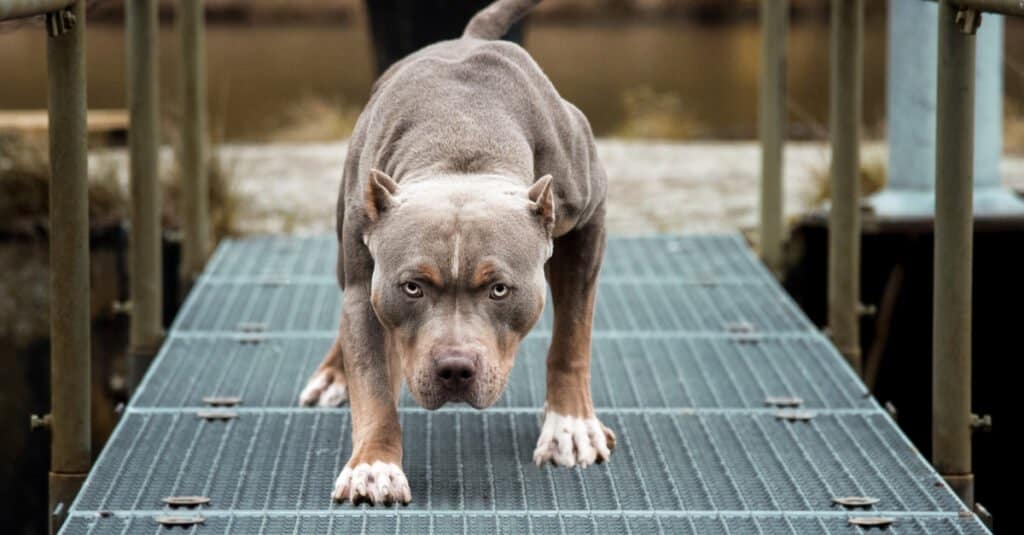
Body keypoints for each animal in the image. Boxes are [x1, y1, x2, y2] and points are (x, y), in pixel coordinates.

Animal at [299, 0, 610, 504]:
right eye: (412, 287)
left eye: (500, 290)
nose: (455, 370)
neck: (463, 140)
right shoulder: (367, 281)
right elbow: (372, 381)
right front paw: (374, 465)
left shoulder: (589, 222)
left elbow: (572, 334)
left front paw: (571, 426)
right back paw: (335, 374)